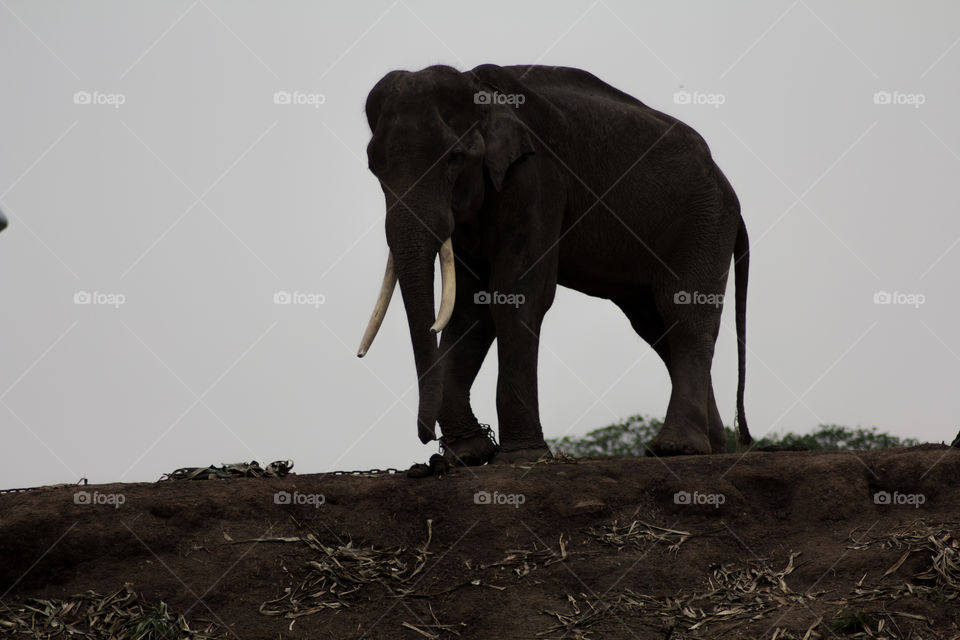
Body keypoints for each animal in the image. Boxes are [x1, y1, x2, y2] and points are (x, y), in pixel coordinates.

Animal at [357, 64, 752, 466]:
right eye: (374, 168)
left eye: (454, 158)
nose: (427, 443)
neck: (482, 92)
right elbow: (470, 306)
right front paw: (469, 454)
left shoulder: (537, 179)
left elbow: (514, 293)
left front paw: (520, 456)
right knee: (654, 326)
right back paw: (708, 447)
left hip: (703, 223)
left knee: (683, 314)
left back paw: (675, 448)